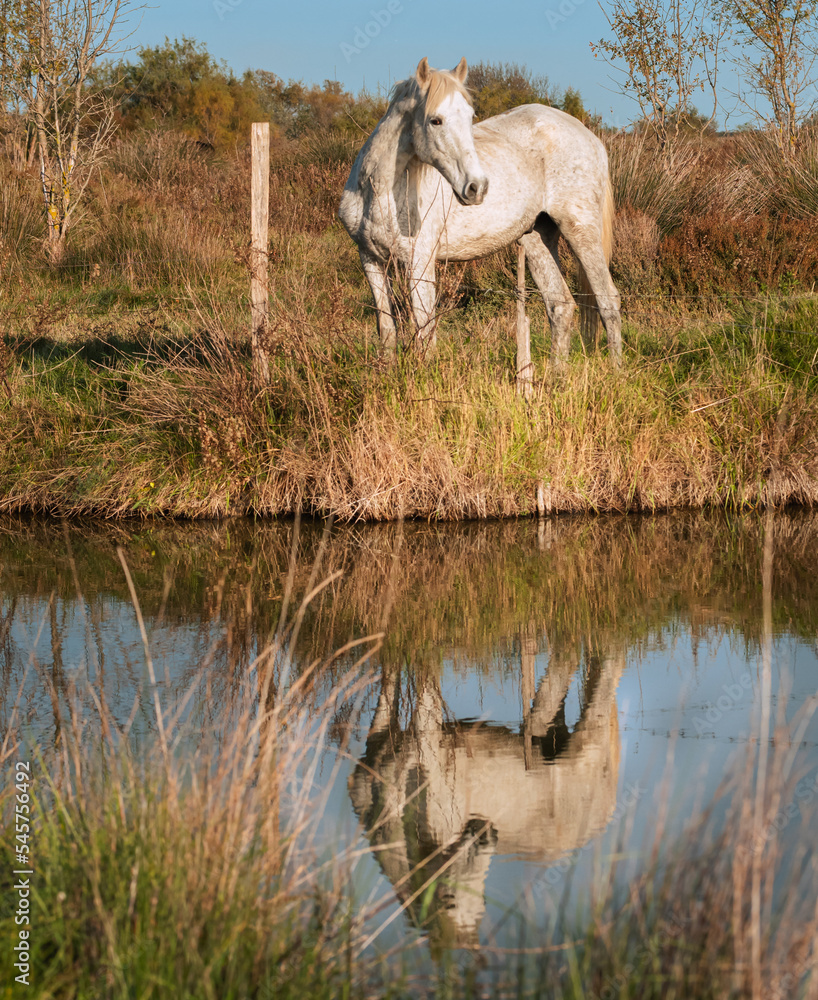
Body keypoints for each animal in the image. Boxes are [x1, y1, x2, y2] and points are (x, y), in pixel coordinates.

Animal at [338, 57, 622, 367]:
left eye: (469, 117)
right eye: (435, 120)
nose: (477, 187)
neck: (376, 191)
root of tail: (590, 137)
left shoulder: (419, 264)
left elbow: (424, 331)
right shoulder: (371, 261)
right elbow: (387, 329)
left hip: (580, 230)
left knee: (608, 300)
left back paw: (615, 370)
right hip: (538, 237)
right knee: (560, 305)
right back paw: (557, 373)